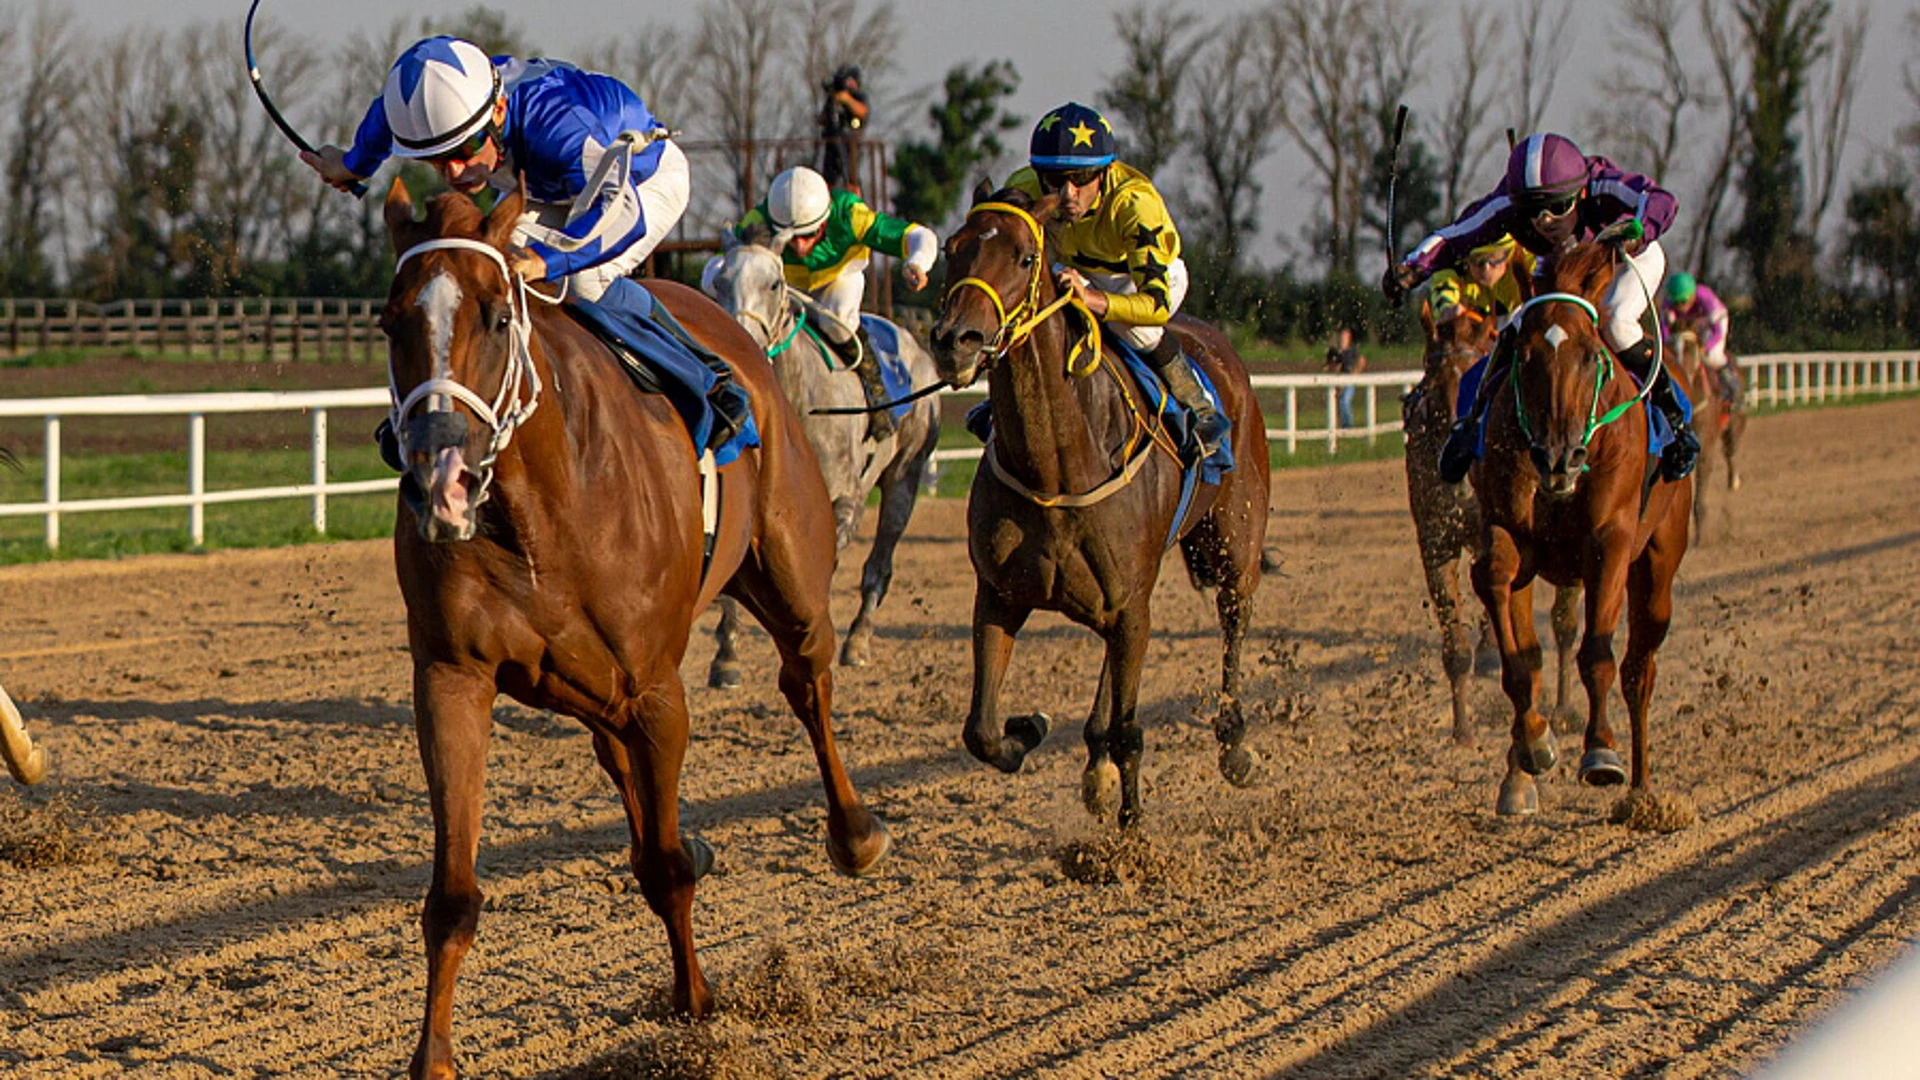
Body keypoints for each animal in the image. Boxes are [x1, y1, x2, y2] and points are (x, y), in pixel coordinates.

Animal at [380, 180, 890, 1068]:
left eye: (497, 316)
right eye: (390, 321)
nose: (440, 480)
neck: (537, 512)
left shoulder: (656, 689)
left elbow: (663, 864)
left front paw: (696, 1007)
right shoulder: (451, 677)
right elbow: (453, 896)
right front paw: (432, 1058)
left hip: (791, 569)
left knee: (807, 681)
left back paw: (854, 831)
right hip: (592, 691)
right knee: (622, 761)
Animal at [706, 236, 944, 676]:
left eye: (774, 284)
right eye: (719, 282)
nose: (733, 346)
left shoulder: (845, 500)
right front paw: (727, 653)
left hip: (906, 474)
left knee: (879, 564)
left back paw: (858, 640)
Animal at [925, 189, 1267, 822]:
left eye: (1024, 255)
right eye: (952, 248)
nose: (954, 340)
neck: (1056, 467)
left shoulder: (1133, 602)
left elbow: (1131, 730)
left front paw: (1130, 835)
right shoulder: (1001, 594)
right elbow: (981, 730)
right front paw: (1029, 728)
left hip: (1235, 542)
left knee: (1235, 616)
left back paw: (1234, 744)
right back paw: (1095, 764)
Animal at [1405, 299, 1582, 737]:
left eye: (1480, 367)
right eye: (1433, 378)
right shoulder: (1436, 539)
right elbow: (1455, 642)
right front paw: (1462, 730)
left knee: (1565, 622)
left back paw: (1563, 709)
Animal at [1466, 242, 1697, 814]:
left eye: (1592, 356)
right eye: (1524, 357)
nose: (1558, 457)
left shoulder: (1609, 543)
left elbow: (1598, 653)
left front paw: (1600, 753)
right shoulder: (1510, 534)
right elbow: (1515, 643)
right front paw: (1534, 742)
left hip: (1658, 560)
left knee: (1640, 668)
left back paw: (1642, 792)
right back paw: (1521, 776)